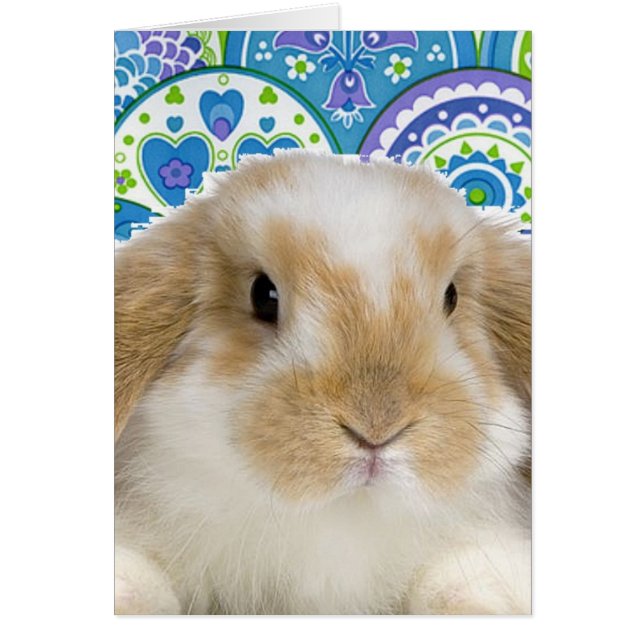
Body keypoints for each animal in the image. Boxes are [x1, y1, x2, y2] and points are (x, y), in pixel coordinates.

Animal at [115, 151, 531, 615]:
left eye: (452, 297)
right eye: (263, 295)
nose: (375, 429)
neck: (341, 514)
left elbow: (463, 581)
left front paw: (480, 605)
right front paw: (124, 596)